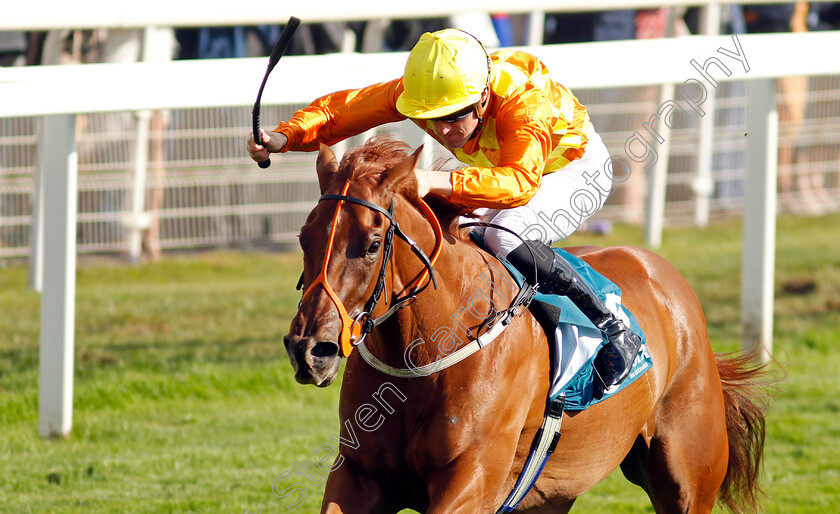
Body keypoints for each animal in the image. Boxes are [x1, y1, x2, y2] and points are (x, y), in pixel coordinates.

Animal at [286, 138, 772, 510]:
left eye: (372, 244)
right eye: (303, 237)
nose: (310, 349)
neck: (425, 358)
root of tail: (661, 272)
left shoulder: (471, 479)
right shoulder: (357, 475)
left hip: (688, 477)